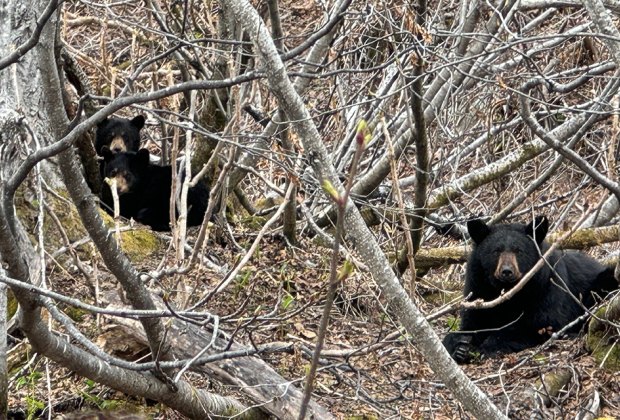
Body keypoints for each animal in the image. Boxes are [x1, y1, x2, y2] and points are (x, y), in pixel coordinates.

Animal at [444, 215, 616, 362]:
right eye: (496, 251)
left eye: (518, 250)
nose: (507, 271)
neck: (510, 292)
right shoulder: (478, 289)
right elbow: (472, 323)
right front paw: (459, 347)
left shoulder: (547, 288)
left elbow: (541, 323)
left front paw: (484, 348)